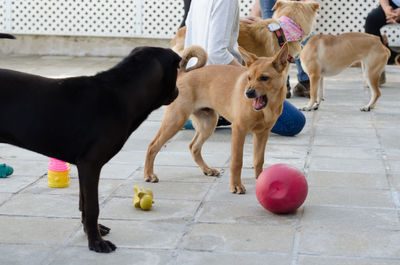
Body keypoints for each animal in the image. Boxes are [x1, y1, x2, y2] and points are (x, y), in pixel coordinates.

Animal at [0, 46, 180, 252]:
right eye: (178, 68)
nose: (178, 90)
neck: (122, 94)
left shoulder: (82, 166)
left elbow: (83, 203)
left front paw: (91, 232)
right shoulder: (90, 164)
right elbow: (93, 206)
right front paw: (96, 243)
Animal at [145, 44, 290, 193]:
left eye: (264, 78)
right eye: (249, 78)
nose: (248, 93)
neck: (267, 108)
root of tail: (183, 74)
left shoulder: (262, 133)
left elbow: (259, 159)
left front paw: (261, 178)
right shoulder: (239, 130)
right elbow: (237, 161)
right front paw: (236, 185)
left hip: (208, 123)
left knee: (194, 146)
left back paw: (207, 169)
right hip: (175, 120)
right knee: (153, 146)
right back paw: (149, 174)